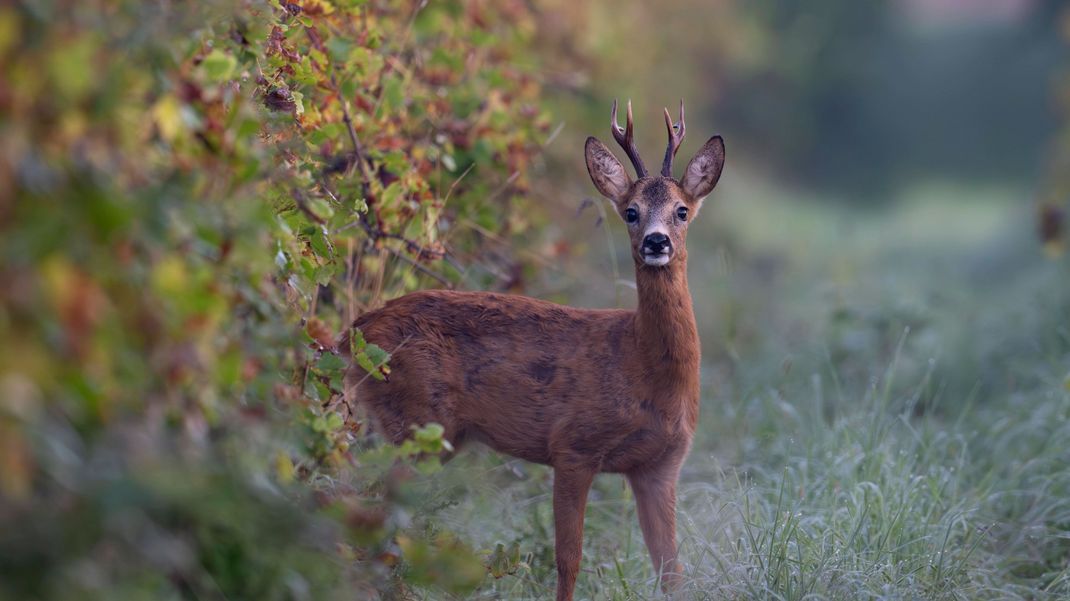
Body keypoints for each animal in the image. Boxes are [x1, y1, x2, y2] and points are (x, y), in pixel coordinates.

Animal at [342, 100, 727, 594]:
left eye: (681, 211)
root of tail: (355, 331)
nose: (655, 241)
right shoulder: (573, 445)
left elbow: (671, 571)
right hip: (415, 415)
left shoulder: (661, 466)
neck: (643, 367)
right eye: (631, 211)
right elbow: (569, 559)